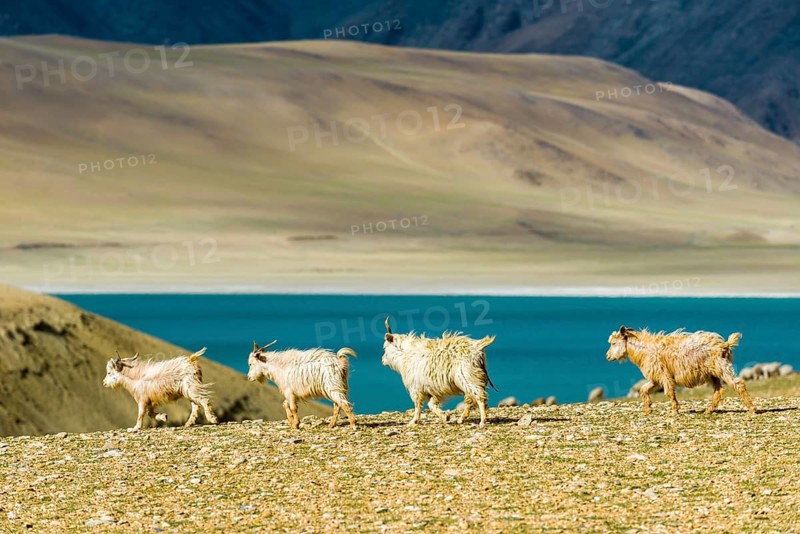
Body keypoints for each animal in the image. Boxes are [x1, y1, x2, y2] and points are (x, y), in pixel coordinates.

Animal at [606, 326, 755, 415]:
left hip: (722, 367)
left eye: (614, 343)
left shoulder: (663, 375)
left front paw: (674, 411)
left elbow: (669, 392)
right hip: (712, 374)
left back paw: (752, 409)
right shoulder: (655, 378)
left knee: (738, 384)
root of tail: (725, 344)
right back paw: (708, 410)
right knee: (719, 390)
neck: (646, 350)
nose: (607, 356)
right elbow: (643, 389)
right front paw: (648, 409)